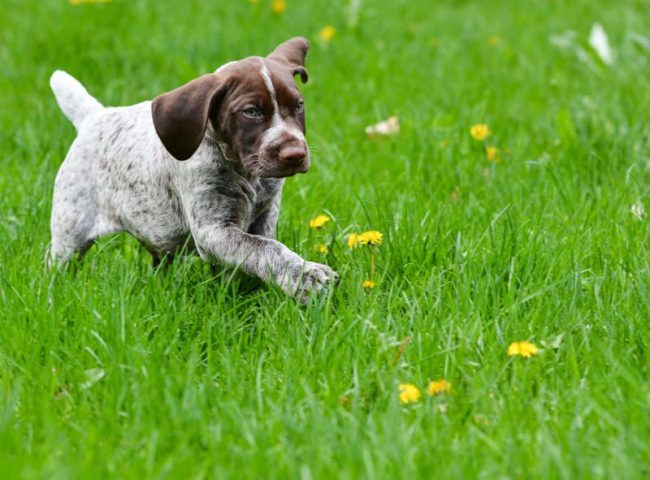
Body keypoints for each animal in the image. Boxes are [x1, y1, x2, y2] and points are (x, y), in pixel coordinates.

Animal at [48, 37, 336, 302]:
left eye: (298, 105)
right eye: (251, 111)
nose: (295, 154)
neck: (246, 172)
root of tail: (94, 117)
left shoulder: (264, 214)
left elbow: (259, 250)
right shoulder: (213, 230)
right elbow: (265, 249)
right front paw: (305, 276)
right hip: (69, 233)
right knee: (57, 267)